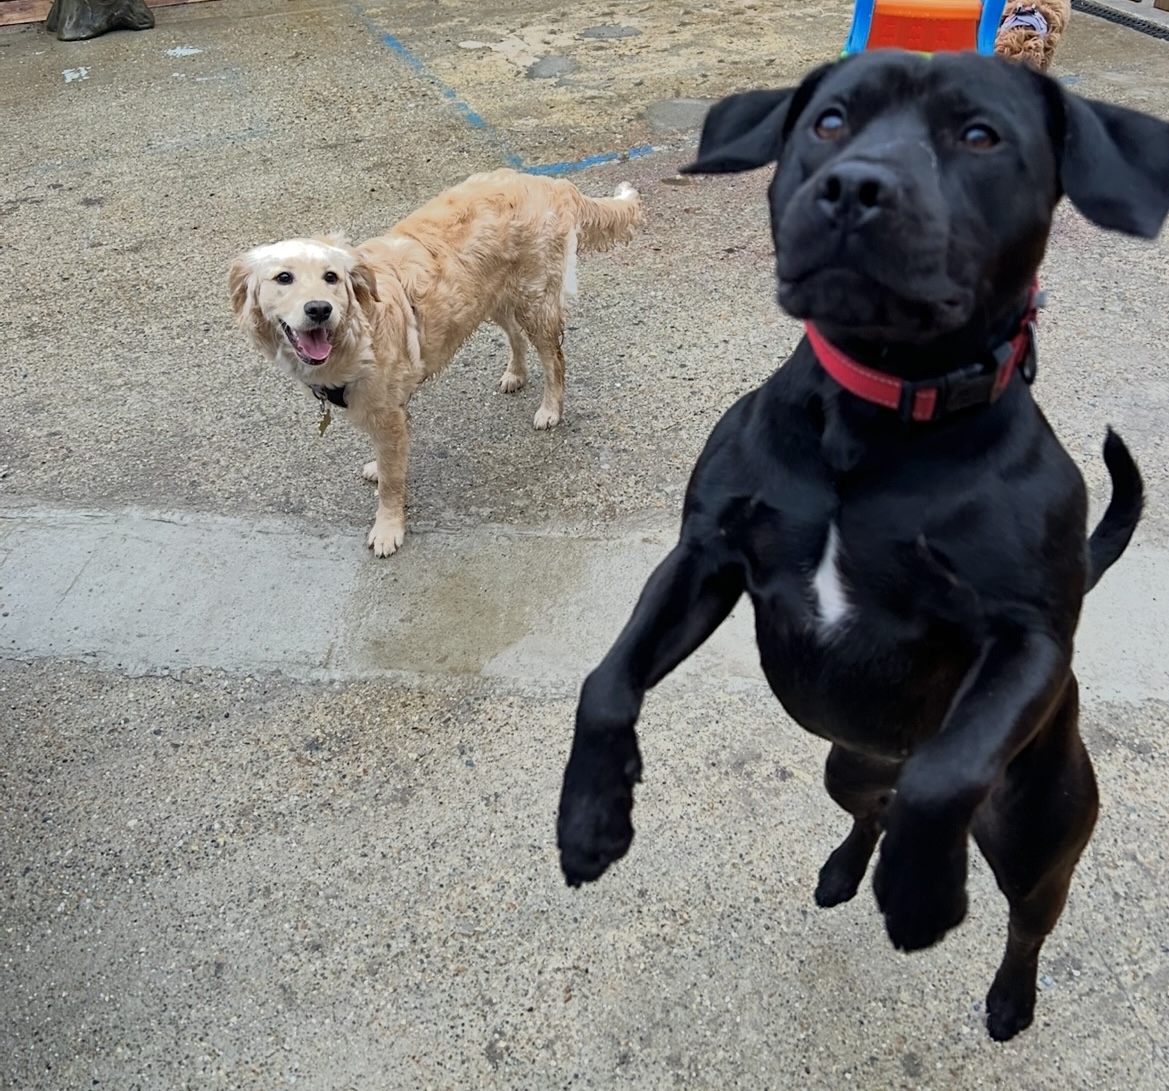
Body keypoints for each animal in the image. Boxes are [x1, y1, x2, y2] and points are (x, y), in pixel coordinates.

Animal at [229, 169, 642, 555]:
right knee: (514, 333)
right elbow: (386, 460)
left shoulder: (388, 414)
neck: (356, 330)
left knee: (554, 358)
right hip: (489, 296)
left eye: (331, 277)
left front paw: (388, 528)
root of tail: (546, 181)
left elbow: (392, 482)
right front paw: (378, 469)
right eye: (283, 277)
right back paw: (515, 373)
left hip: (534, 300)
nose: (319, 309)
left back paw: (550, 408)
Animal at [558, 50, 1169, 1041]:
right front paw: (590, 820)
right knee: (872, 808)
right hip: (846, 764)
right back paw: (846, 869)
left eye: (979, 135)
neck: (877, 419)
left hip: (1039, 836)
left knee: (1024, 913)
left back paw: (1007, 995)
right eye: (830, 122)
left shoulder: (1028, 638)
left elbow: (945, 771)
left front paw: (923, 894)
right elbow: (605, 684)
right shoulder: (705, 558)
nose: (853, 188)